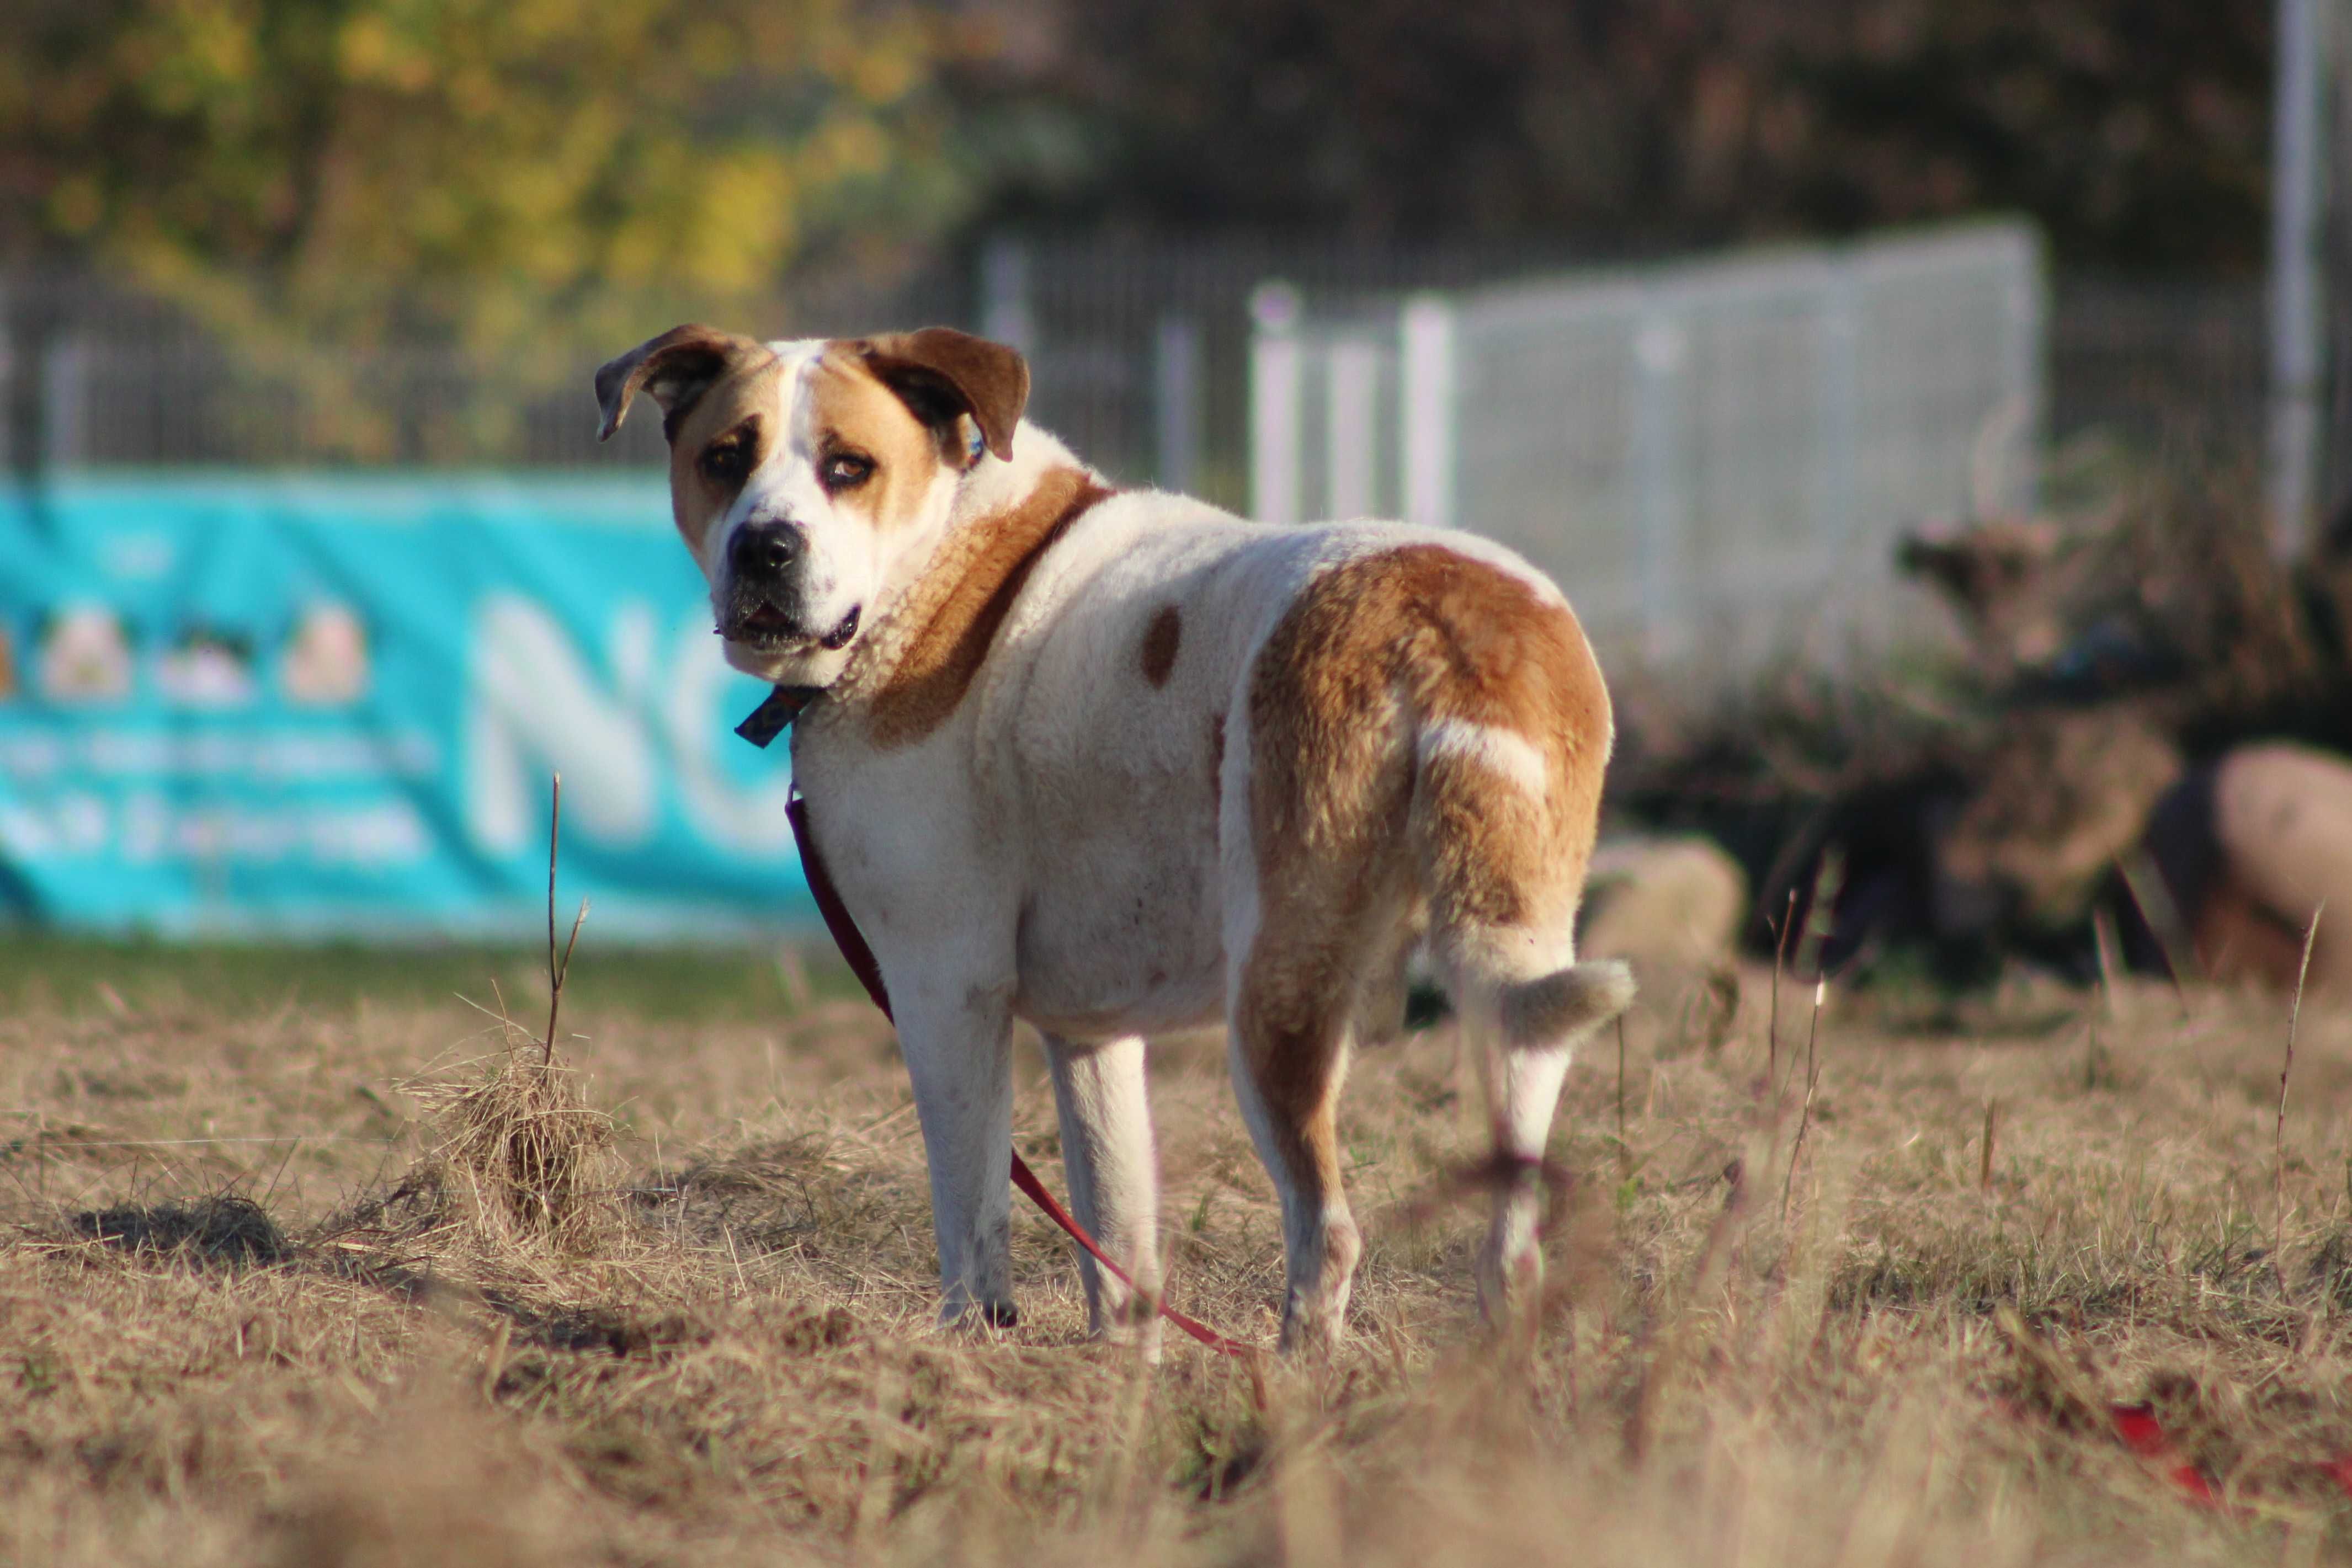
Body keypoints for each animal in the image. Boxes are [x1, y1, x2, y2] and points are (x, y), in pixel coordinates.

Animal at [597, 324, 1627, 1354]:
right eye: (725, 457)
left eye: (849, 467)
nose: (764, 546)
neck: (935, 560)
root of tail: (1444, 619)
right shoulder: (1090, 1032)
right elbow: (1119, 1233)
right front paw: (1116, 1369)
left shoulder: (945, 987)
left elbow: (972, 1212)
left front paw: (970, 1347)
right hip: (1512, 978)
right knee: (1511, 1230)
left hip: (1277, 994)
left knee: (1326, 1226)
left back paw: (1294, 1373)